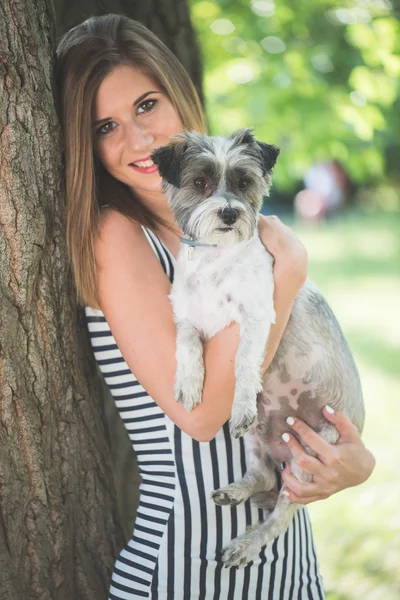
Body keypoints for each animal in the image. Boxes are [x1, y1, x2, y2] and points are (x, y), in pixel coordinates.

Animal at [152, 129, 364, 568]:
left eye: (244, 181)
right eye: (200, 182)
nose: (229, 214)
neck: (215, 261)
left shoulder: (256, 315)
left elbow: (244, 364)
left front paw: (240, 395)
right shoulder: (187, 318)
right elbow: (187, 344)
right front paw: (189, 383)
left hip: (313, 453)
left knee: (282, 512)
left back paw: (247, 543)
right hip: (257, 437)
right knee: (263, 475)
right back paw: (235, 491)